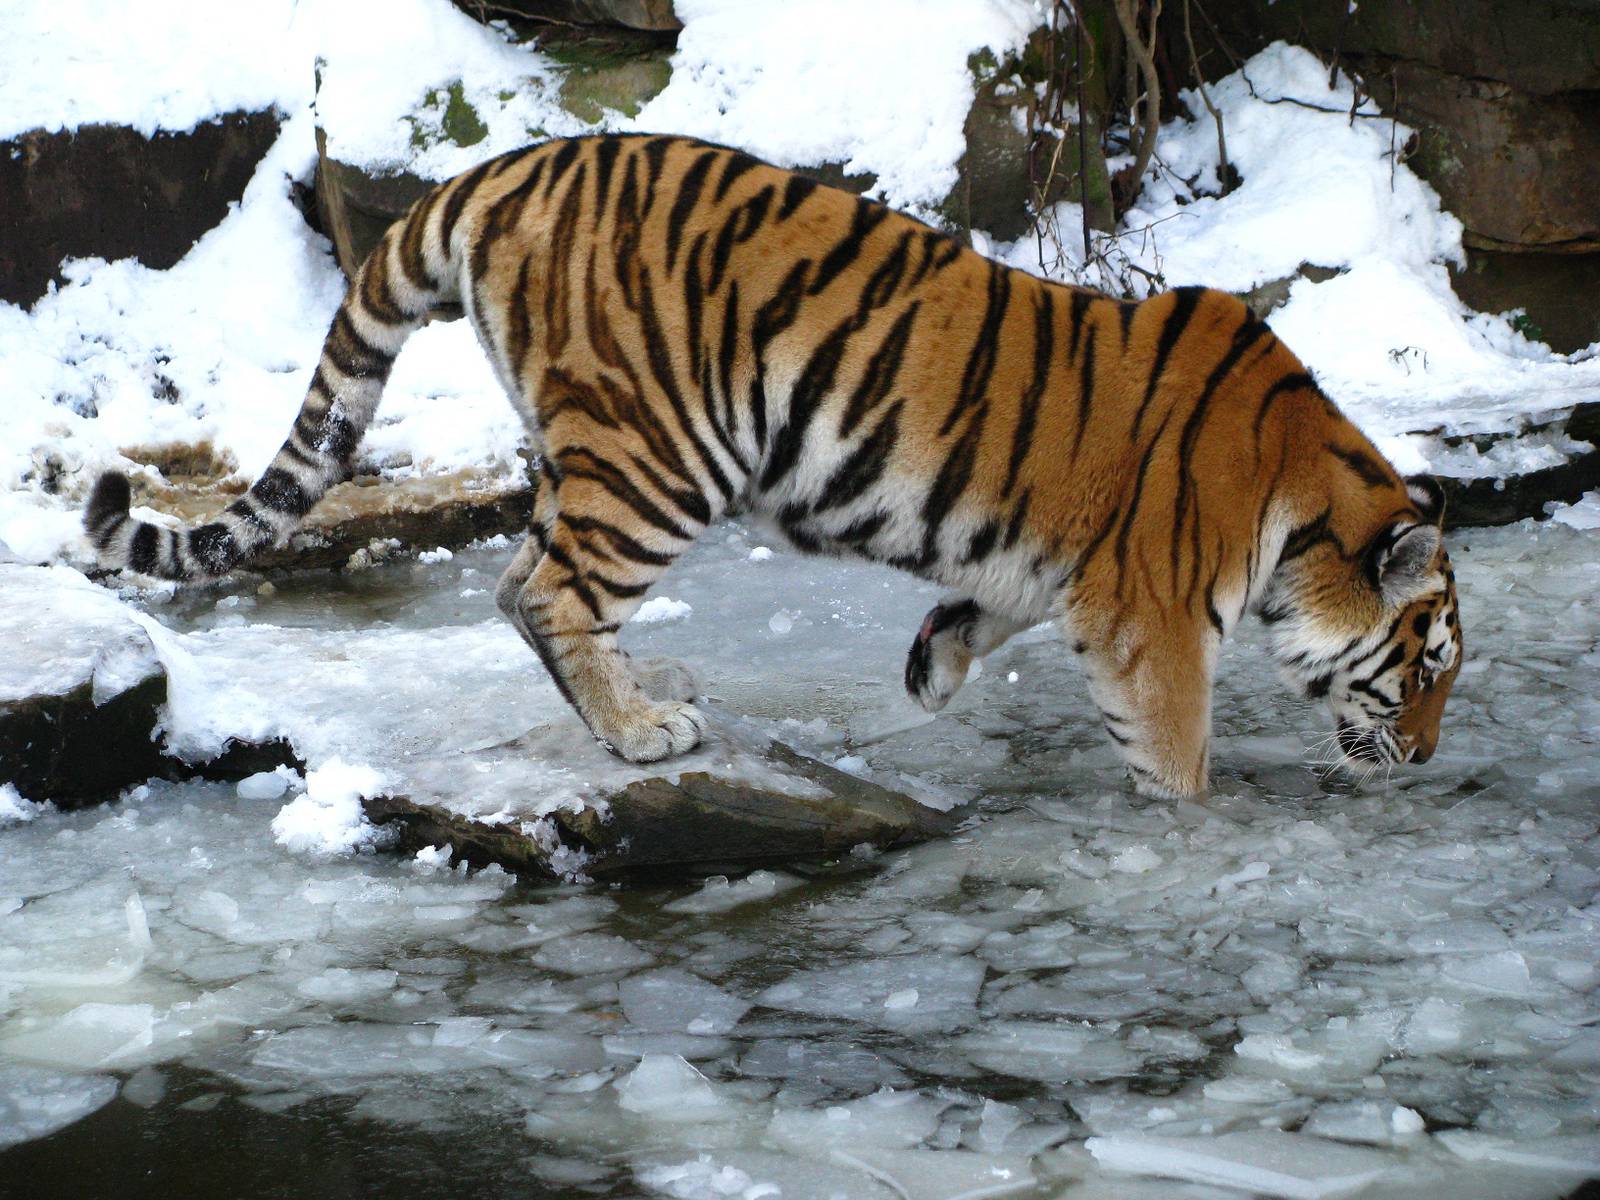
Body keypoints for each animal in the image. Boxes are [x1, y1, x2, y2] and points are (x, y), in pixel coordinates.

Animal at [83, 133, 1463, 799]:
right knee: (551, 591)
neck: (1301, 502)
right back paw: (643, 732)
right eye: (1424, 670)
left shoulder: (1056, 566)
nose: (1427, 757)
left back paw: (646, 692)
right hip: (658, 455)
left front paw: (930, 673)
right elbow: (1176, 760)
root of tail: (504, 167)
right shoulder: (1155, 622)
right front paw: (1196, 825)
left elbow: (980, 607)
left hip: (581, 450)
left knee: (521, 581)